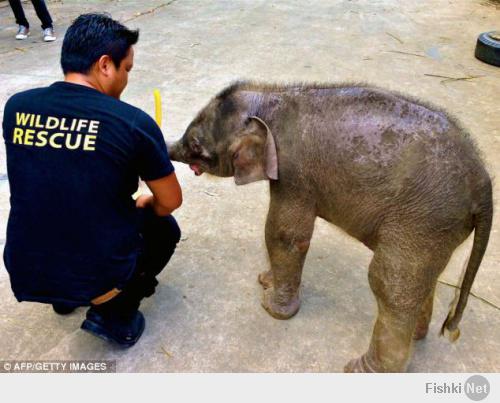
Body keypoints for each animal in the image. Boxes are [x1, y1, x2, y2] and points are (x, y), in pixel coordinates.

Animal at [168, 81, 492, 372]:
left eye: (196, 145)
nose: (169, 151)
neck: (271, 96)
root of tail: (485, 185)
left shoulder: (294, 173)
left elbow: (284, 234)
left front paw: (271, 308)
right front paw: (266, 281)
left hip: (423, 219)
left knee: (389, 283)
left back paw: (362, 370)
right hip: (434, 228)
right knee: (421, 281)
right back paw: (416, 337)